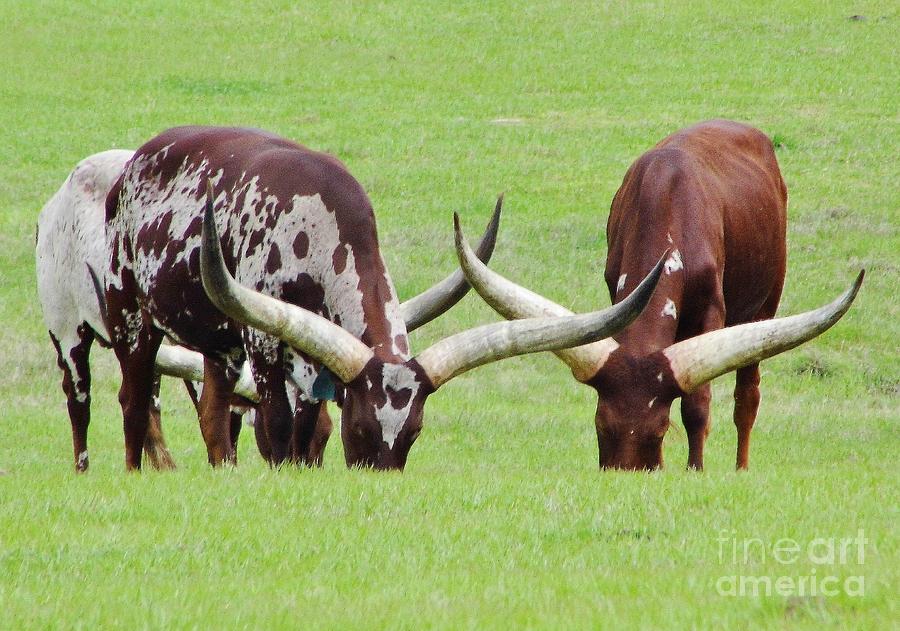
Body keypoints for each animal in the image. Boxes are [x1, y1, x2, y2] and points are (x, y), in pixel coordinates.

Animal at [107, 126, 668, 470]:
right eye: (358, 429)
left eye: (413, 433)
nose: (376, 474)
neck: (316, 228)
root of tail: (139, 158)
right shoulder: (264, 342)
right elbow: (279, 426)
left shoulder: (309, 365)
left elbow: (305, 427)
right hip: (131, 315)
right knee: (134, 398)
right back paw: (135, 471)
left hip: (218, 344)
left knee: (213, 411)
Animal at [458, 121, 864, 472]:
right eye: (601, 425)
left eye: (659, 429)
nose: (629, 471)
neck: (665, 202)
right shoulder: (617, 296)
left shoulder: (711, 311)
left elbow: (697, 404)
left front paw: (695, 468)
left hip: (765, 306)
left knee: (747, 395)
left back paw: (741, 467)